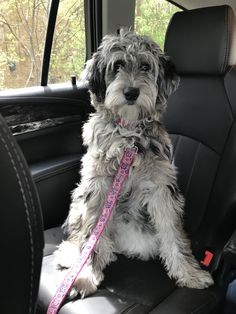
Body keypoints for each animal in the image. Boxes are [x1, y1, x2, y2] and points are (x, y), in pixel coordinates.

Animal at [54, 30, 214, 298]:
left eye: (146, 66)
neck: (128, 136)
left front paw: (188, 273)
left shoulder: (162, 187)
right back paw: (73, 255)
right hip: (79, 197)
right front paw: (85, 274)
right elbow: (90, 233)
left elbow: (173, 234)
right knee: (84, 234)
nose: (131, 93)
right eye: (117, 65)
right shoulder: (97, 185)